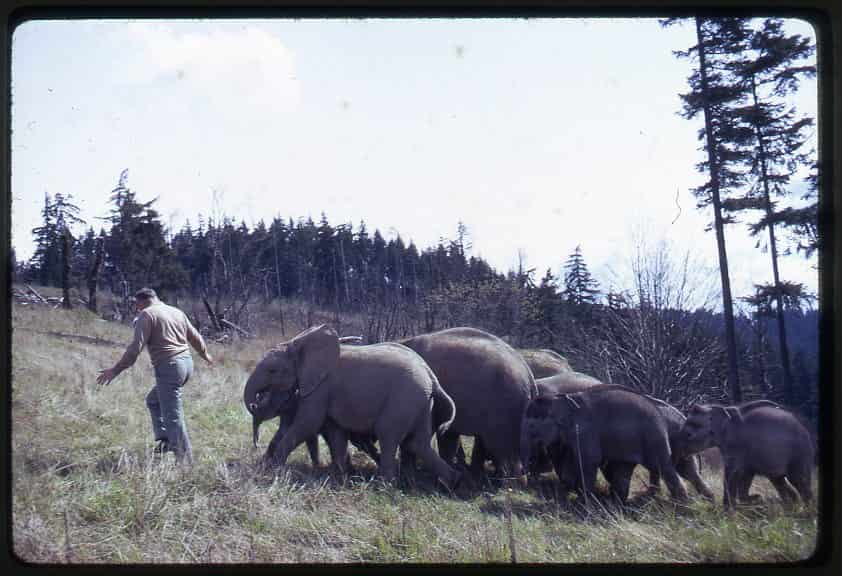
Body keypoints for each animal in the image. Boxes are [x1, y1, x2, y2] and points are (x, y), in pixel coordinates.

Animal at [243, 325, 461, 488]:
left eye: (272, 371)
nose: (254, 402)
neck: (299, 344)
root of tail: (430, 376)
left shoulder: (321, 386)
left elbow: (308, 422)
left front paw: (275, 469)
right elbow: (334, 431)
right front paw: (339, 477)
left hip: (403, 399)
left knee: (388, 436)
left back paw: (384, 487)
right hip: (421, 402)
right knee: (418, 443)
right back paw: (452, 483)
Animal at [521, 384, 689, 503]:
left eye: (532, 427)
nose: (525, 476)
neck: (563, 400)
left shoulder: (585, 432)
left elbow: (589, 460)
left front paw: (583, 501)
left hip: (653, 438)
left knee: (663, 466)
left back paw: (681, 504)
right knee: (624, 470)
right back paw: (616, 503)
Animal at [680, 401, 813, 508]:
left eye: (689, 434)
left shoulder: (737, 445)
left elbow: (733, 472)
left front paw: (730, 508)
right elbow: (745, 474)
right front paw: (755, 499)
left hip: (799, 453)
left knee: (799, 480)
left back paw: (806, 511)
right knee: (779, 480)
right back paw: (791, 506)